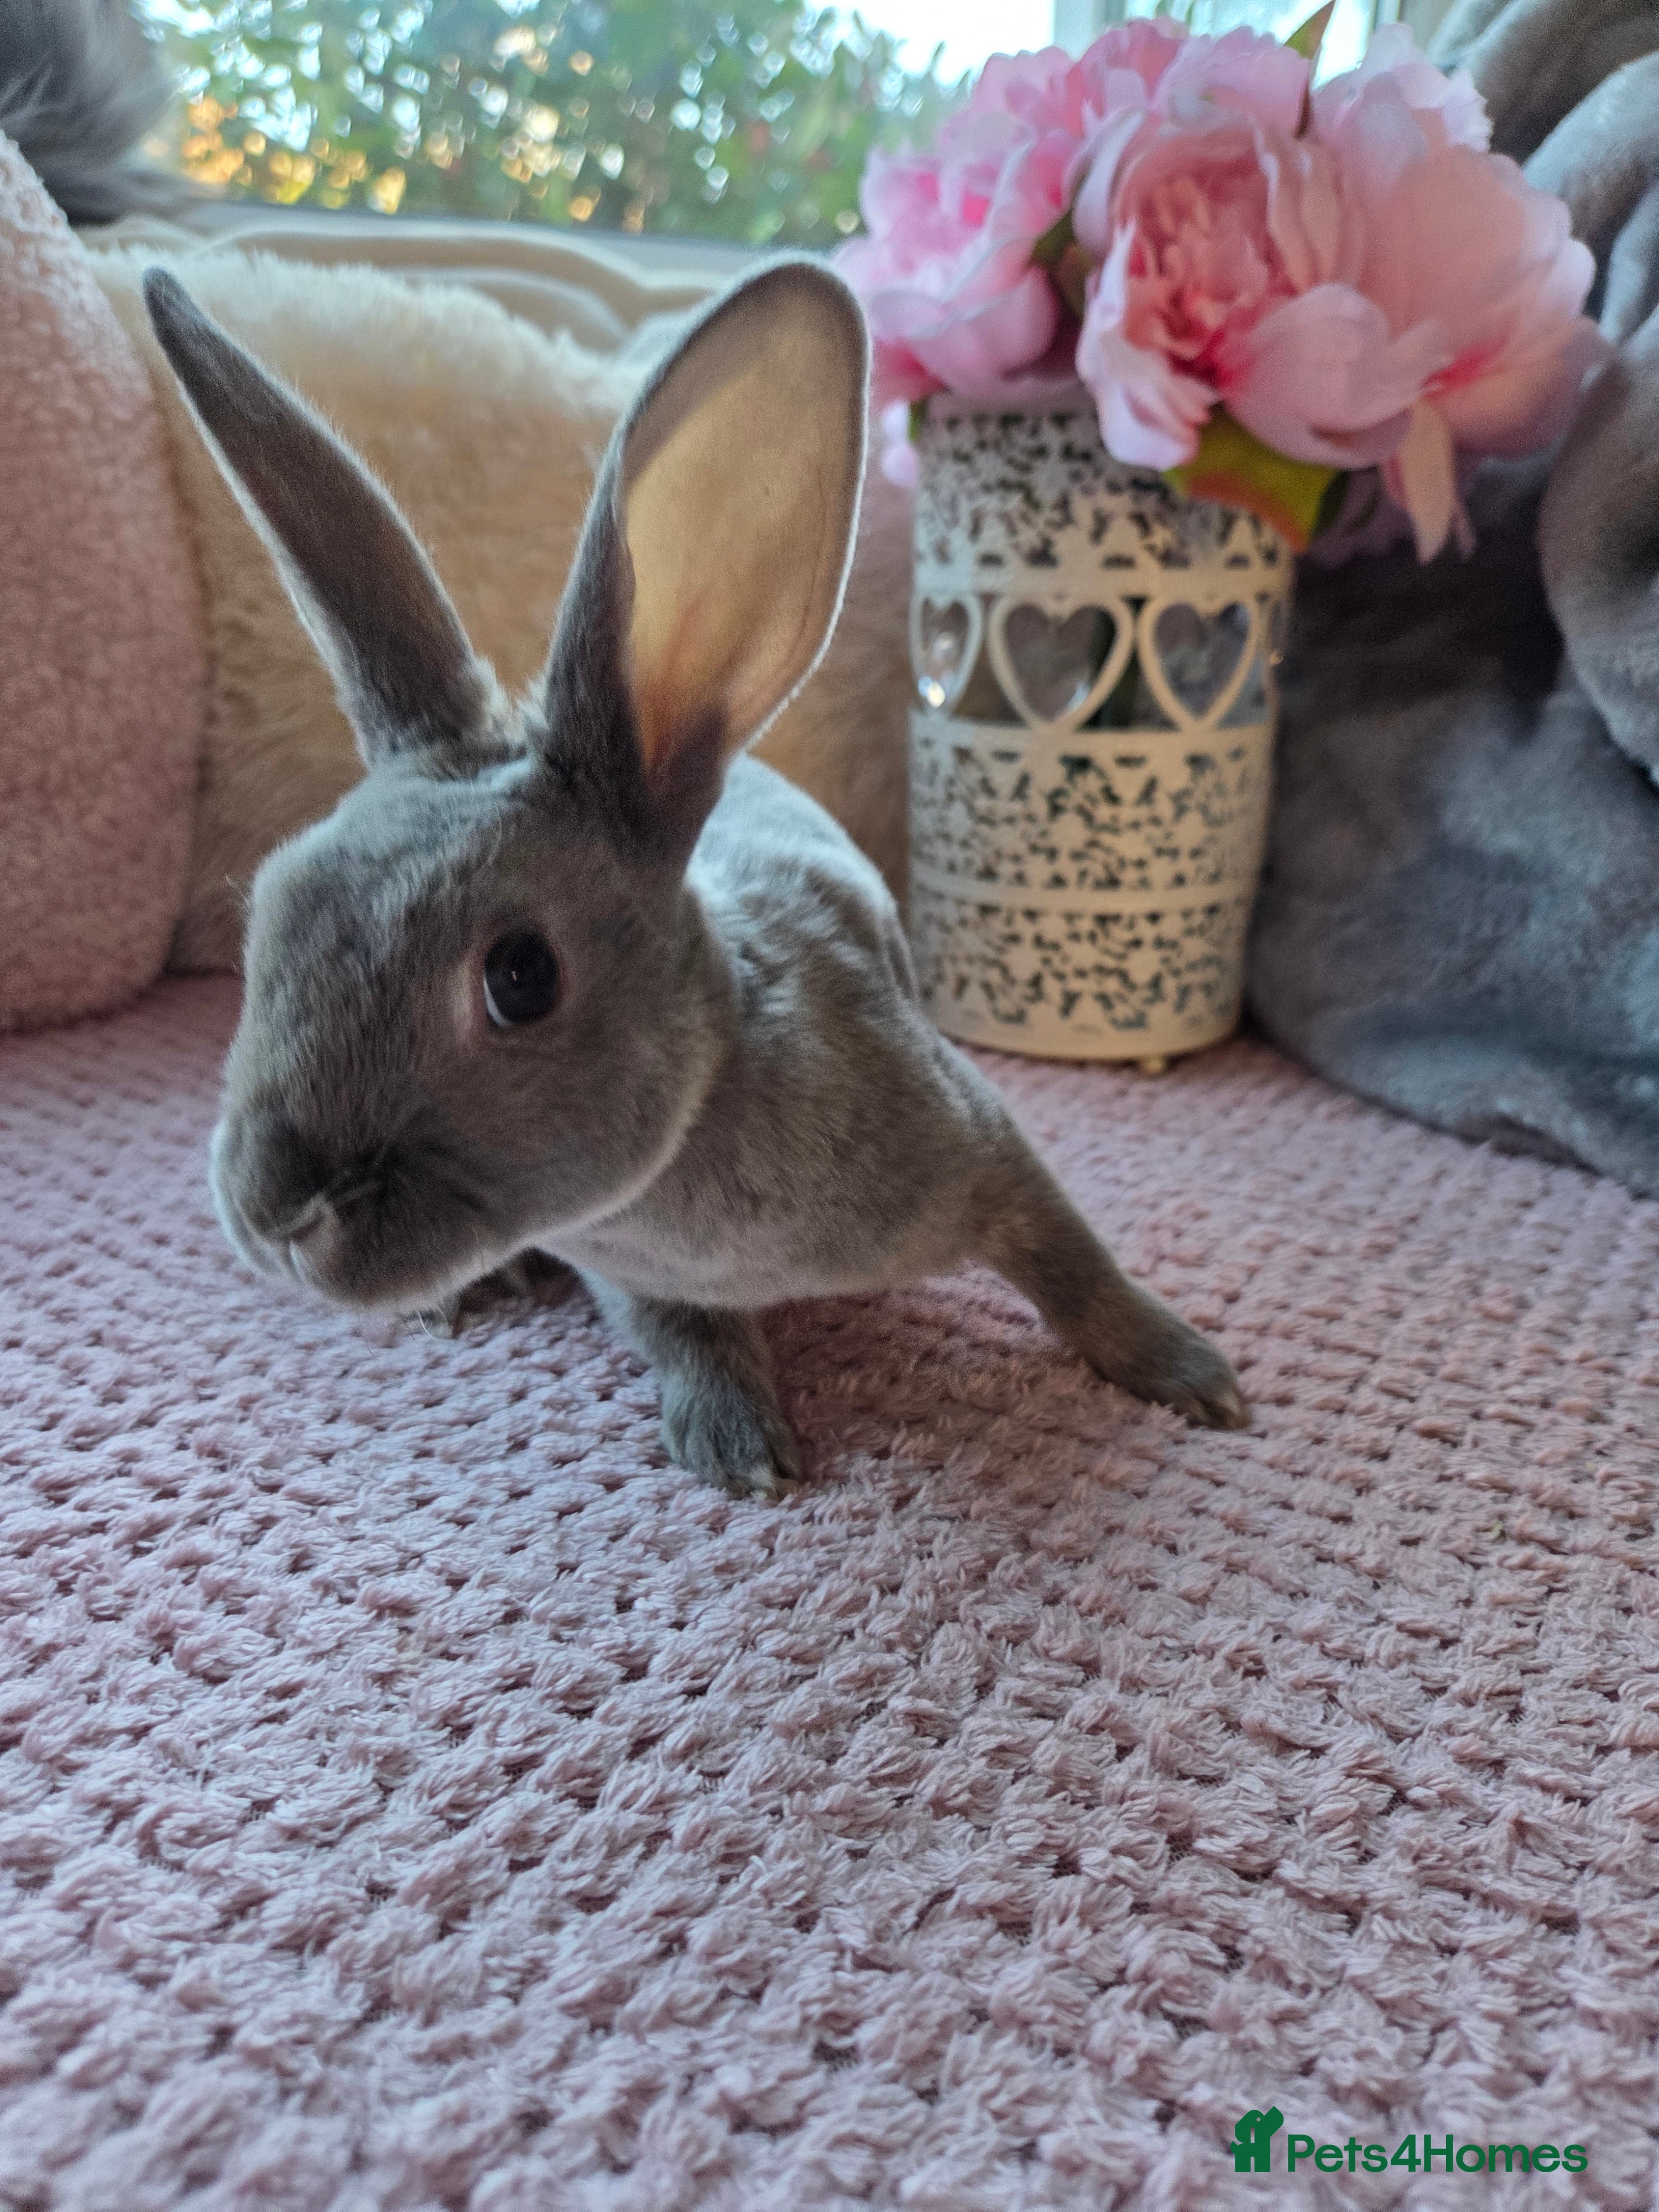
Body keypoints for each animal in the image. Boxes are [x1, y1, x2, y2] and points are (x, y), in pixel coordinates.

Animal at [141, 257, 1249, 1498]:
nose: (274, 1211)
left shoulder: (976, 1140)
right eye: (268, 918)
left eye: (520, 977)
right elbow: (683, 1330)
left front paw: (1193, 1374)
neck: (710, 1087)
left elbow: (1070, 1258)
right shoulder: (638, 1274)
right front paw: (739, 1446)